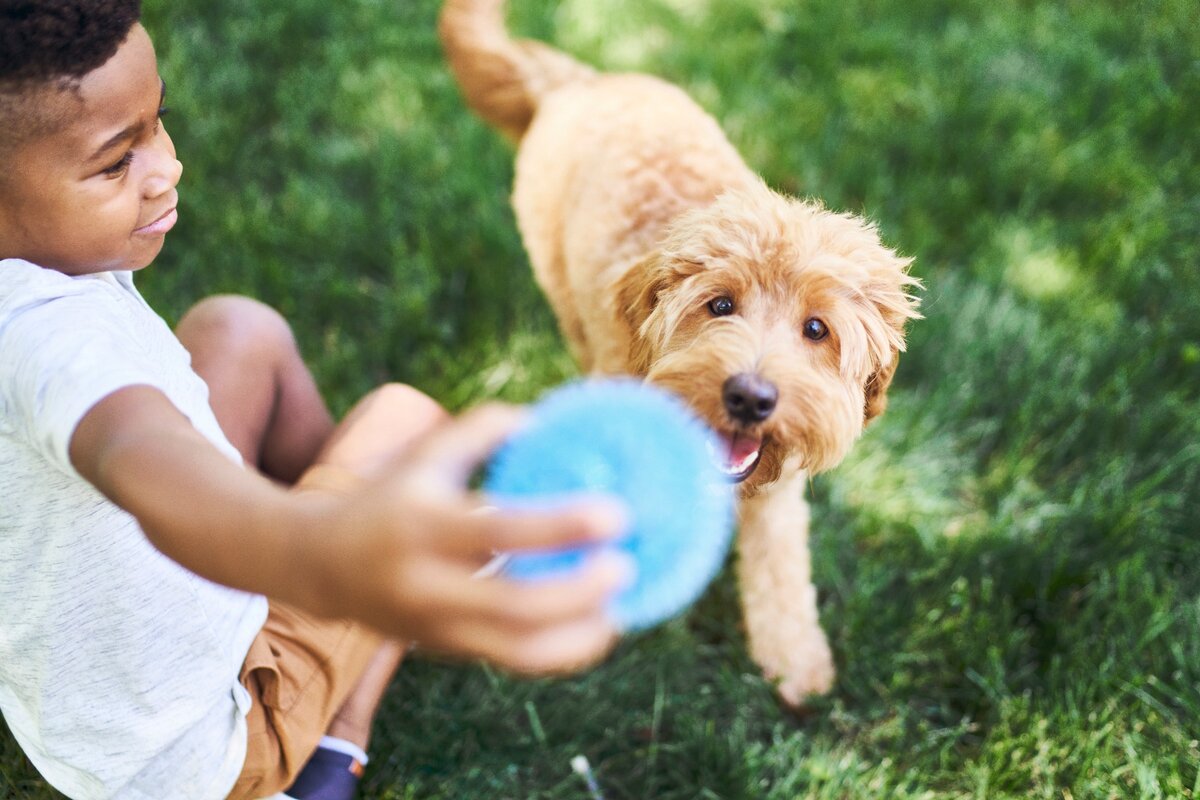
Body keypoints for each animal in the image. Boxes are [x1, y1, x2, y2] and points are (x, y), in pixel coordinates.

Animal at [441, 0, 916, 705]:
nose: (750, 396)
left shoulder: (778, 496)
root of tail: (584, 81)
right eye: (719, 305)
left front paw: (795, 660)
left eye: (816, 329)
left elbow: (781, 572)